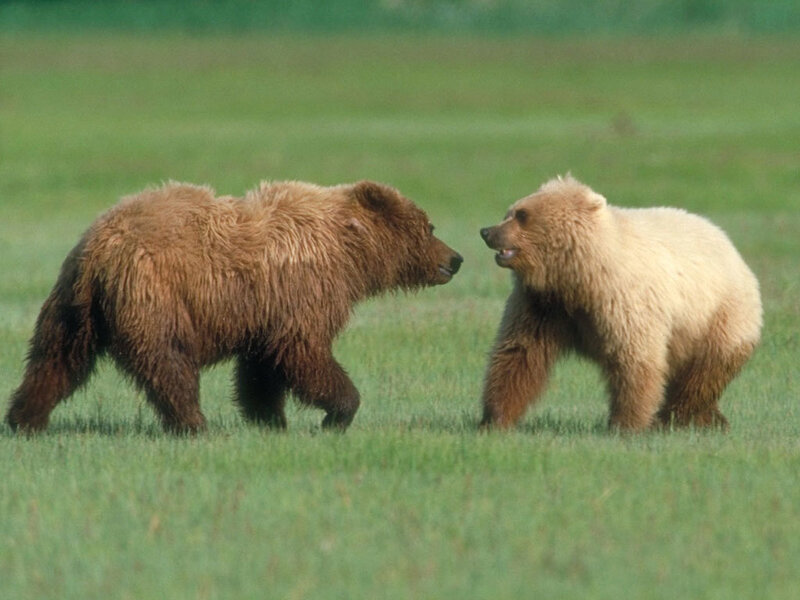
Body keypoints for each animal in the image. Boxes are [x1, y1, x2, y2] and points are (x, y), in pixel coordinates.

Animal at [6, 179, 463, 433]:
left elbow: (262, 368)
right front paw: (338, 413)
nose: (456, 258)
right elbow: (305, 353)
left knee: (56, 361)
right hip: (155, 293)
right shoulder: (303, 289)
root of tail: (100, 248)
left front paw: (270, 420)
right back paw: (194, 423)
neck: (350, 253)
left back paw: (24, 419)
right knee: (167, 360)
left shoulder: (266, 309)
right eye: (430, 227)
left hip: (73, 306)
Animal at [479, 175, 762, 431]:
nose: (487, 231)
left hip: (717, 316)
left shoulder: (624, 301)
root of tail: (731, 246)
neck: (578, 278)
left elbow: (634, 361)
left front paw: (625, 424)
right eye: (510, 211)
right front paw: (494, 420)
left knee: (703, 374)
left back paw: (677, 417)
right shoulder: (543, 305)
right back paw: (710, 419)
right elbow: (519, 354)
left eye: (522, 215)